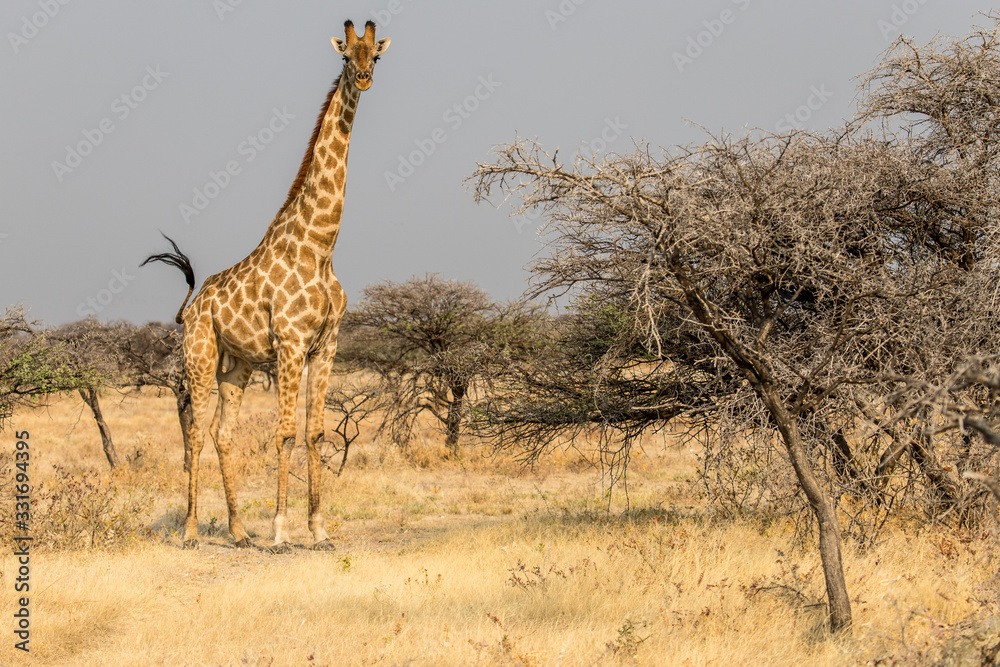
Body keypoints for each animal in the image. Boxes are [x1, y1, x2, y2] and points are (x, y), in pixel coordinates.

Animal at [143, 20, 390, 552]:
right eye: (346, 56)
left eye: (375, 56)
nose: (363, 79)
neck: (320, 245)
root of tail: (190, 307)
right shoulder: (291, 342)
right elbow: (285, 434)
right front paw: (280, 531)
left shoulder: (327, 345)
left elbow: (315, 433)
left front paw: (318, 529)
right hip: (199, 356)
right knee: (196, 433)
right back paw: (191, 530)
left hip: (237, 367)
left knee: (223, 434)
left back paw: (238, 532)